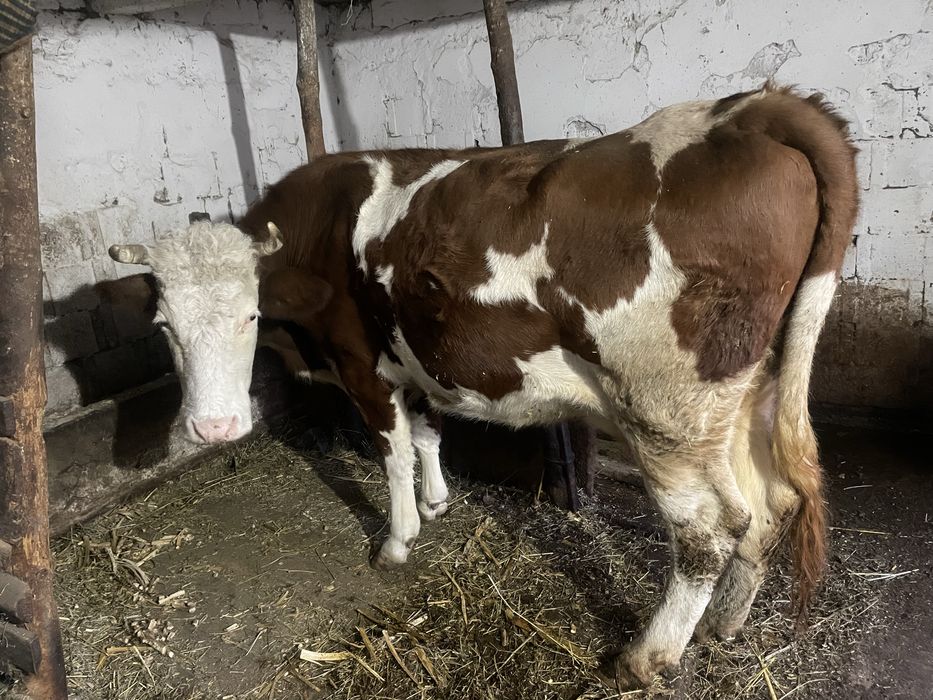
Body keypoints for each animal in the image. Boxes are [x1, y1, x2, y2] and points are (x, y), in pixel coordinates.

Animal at [109, 83, 858, 689]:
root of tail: (743, 110)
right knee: (767, 505)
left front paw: (398, 538)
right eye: (165, 324)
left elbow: (391, 450)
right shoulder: (415, 355)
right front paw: (437, 501)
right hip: (739, 397)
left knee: (708, 530)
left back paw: (644, 658)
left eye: (251, 313)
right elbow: (427, 432)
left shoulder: (361, 363)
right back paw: (721, 625)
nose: (215, 428)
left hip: (662, 409)